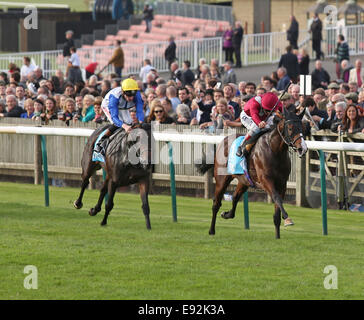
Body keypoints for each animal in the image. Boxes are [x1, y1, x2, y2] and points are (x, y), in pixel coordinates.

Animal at [196, 109, 308, 239]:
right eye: (290, 128)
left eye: (303, 127)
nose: (303, 148)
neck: (274, 150)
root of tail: (222, 141)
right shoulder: (266, 180)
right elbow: (276, 198)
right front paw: (287, 218)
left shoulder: (282, 183)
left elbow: (277, 211)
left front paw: (277, 237)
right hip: (222, 179)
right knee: (216, 204)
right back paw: (211, 230)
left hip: (244, 180)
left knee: (235, 197)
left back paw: (227, 214)